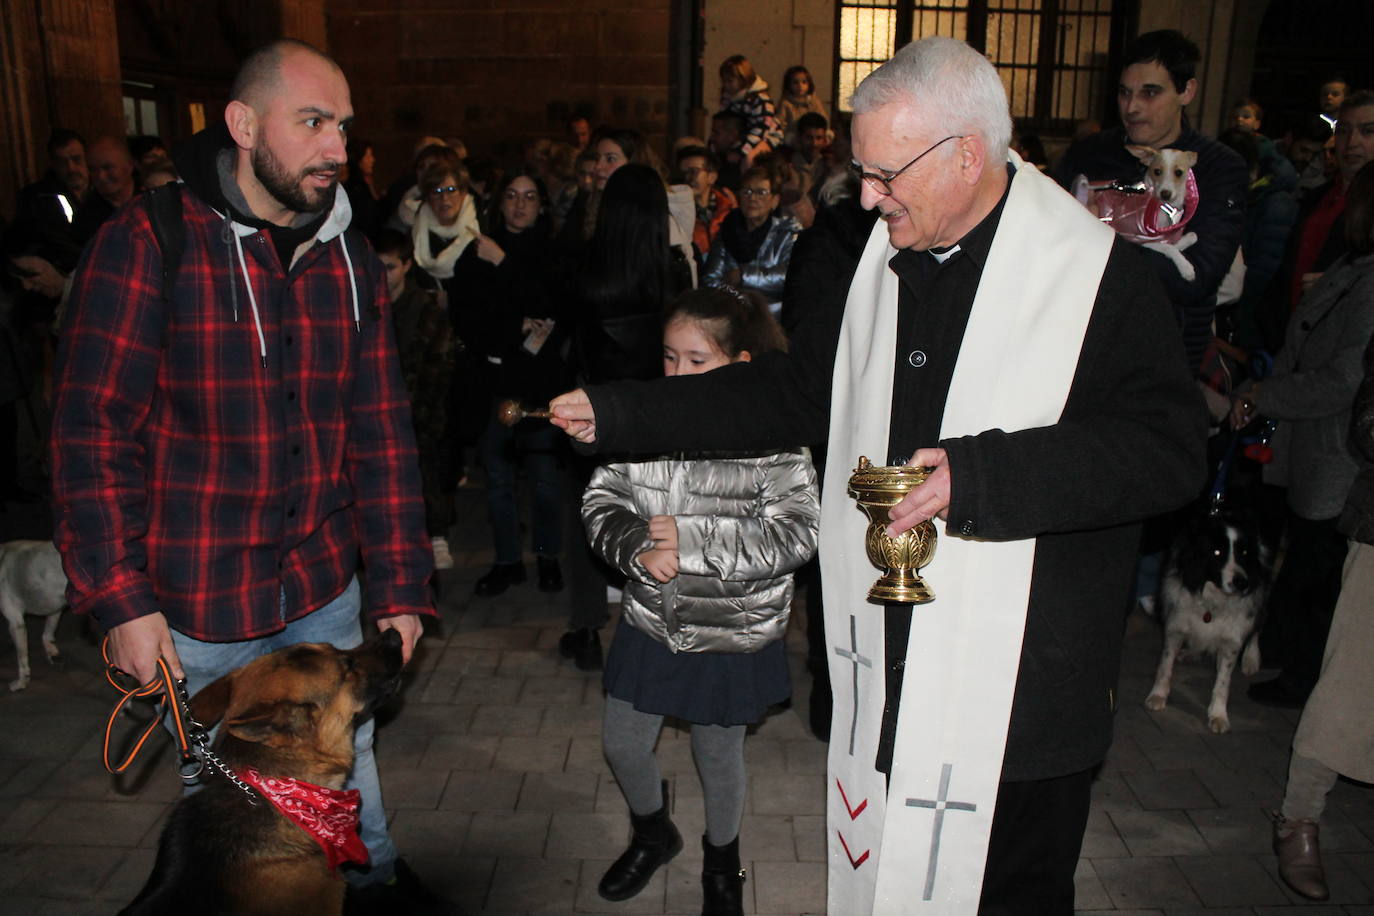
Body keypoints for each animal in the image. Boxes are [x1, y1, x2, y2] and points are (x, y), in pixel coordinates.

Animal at [0, 541, 68, 692]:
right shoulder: (55, 607)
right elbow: (47, 634)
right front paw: (52, 652)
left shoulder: (16, 624)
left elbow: (22, 660)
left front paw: (21, 682)